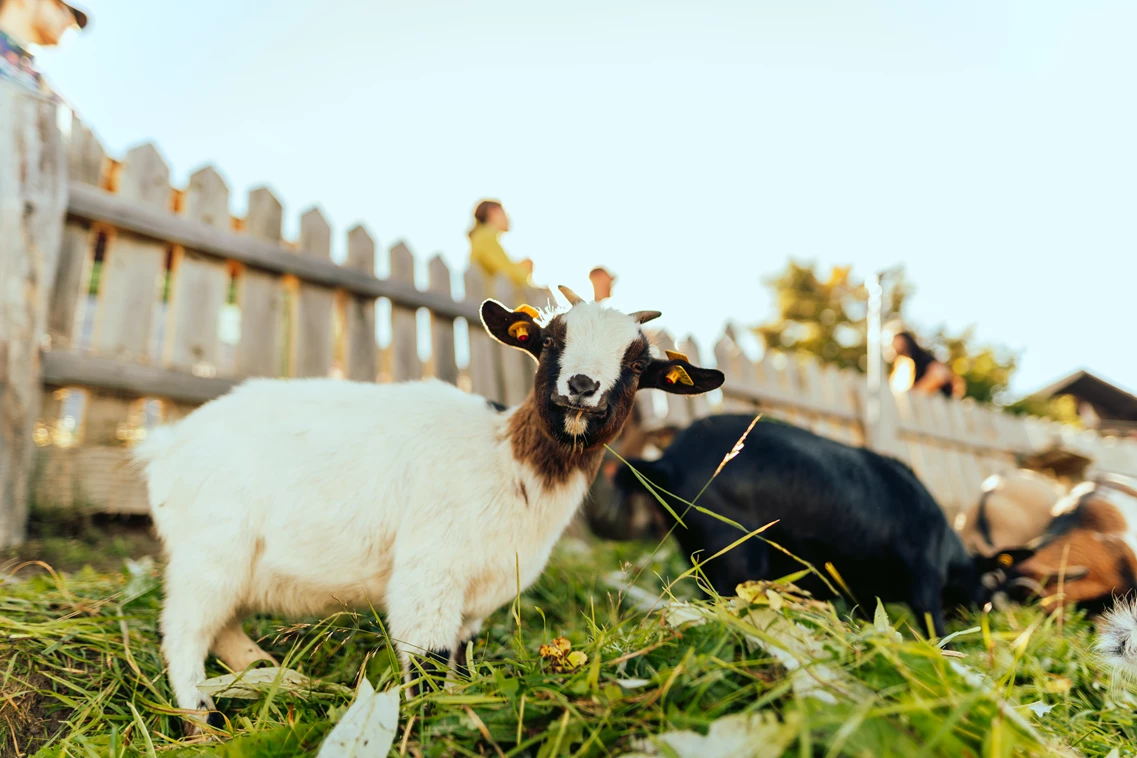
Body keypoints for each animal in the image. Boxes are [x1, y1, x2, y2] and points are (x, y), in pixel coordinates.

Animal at [133, 286, 718, 727]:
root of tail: (165, 445)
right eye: (551, 340)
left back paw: (281, 679)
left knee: (223, 626)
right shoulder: (430, 572)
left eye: (638, 364)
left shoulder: (475, 597)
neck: (506, 462)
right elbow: (430, 662)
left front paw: (462, 707)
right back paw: (203, 716)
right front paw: (433, 723)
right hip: (210, 547)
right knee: (183, 630)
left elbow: (458, 662)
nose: (581, 385)